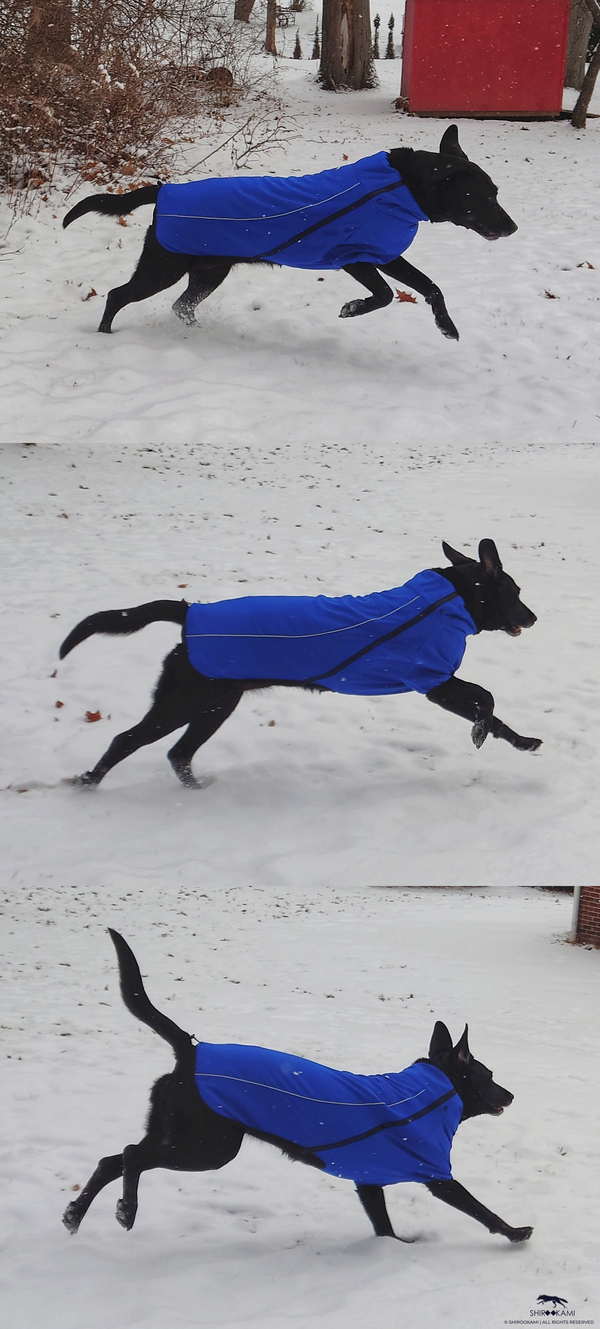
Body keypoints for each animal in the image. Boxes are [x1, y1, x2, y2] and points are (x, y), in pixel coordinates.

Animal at [58, 536, 542, 786]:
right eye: (516, 592)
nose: (534, 618)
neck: (451, 598)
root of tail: (190, 611)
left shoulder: (438, 682)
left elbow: (496, 714)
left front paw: (522, 743)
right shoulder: (435, 680)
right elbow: (487, 700)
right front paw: (480, 732)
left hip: (216, 705)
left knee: (178, 753)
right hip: (183, 702)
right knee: (126, 740)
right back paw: (88, 783)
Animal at [63, 126, 518, 337]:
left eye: (496, 193)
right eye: (482, 196)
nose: (513, 227)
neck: (399, 186)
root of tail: (164, 190)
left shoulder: (384, 254)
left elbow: (431, 286)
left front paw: (447, 326)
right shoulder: (355, 256)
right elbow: (387, 295)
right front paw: (353, 308)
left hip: (209, 272)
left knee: (181, 306)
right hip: (163, 267)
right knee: (117, 295)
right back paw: (105, 335)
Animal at [63, 924, 534, 1243]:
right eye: (489, 1076)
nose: (512, 1095)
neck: (433, 1090)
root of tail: (193, 1051)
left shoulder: (368, 1180)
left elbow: (383, 1226)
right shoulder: (435, 1174)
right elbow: (480, 1210)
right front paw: (515, 1233)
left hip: (175, 1132)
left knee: (112, 1159)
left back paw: (75, 1215)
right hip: (207, 1146)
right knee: (130, 1155)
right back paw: (127, 1210)